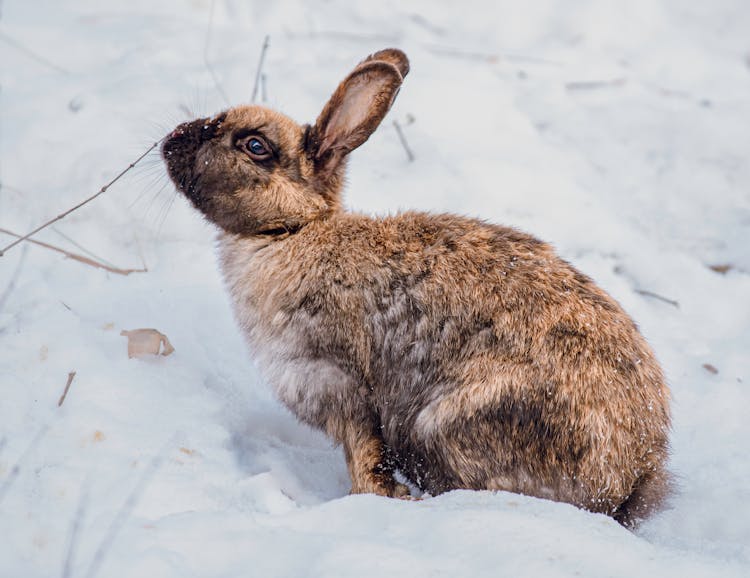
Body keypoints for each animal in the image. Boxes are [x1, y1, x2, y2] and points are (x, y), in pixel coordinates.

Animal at [163, 48, 668, 528]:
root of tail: (631, 479)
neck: (294, 230)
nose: (171, 141)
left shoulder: (342, 384)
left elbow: (367, 459)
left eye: (255, 145)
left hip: (447, 424)